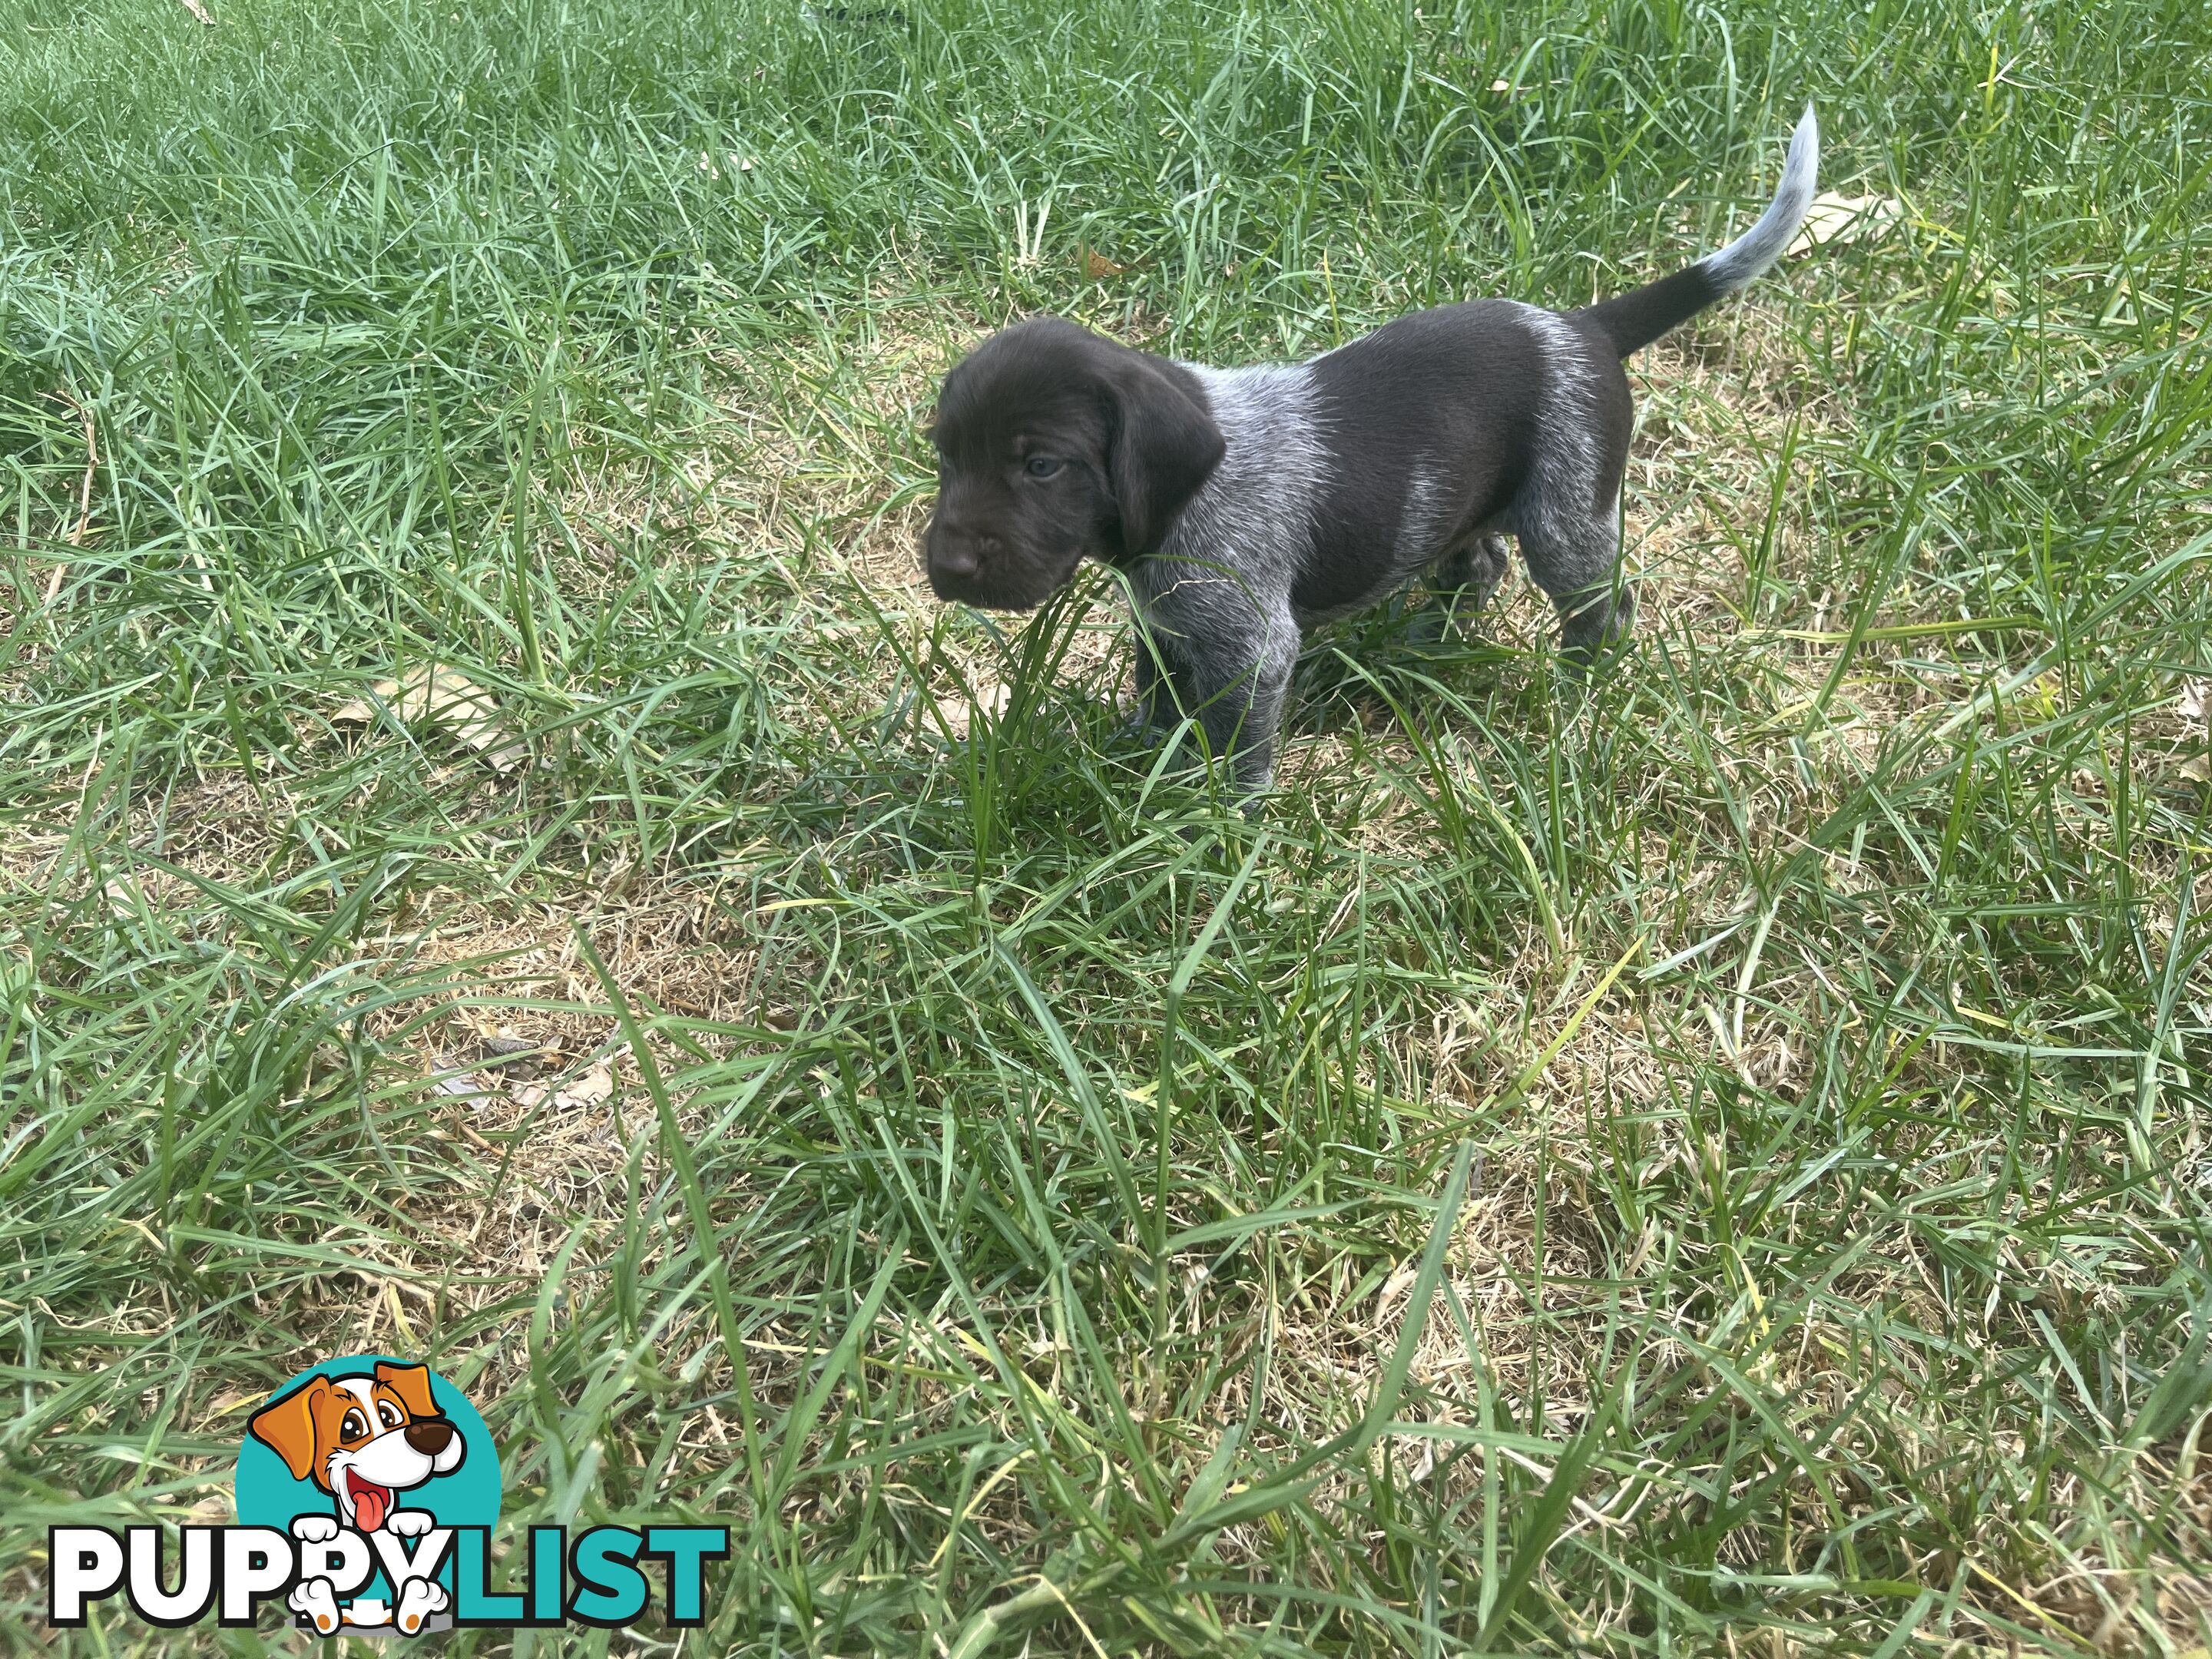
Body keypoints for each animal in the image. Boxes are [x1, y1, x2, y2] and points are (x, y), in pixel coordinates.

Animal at [924, 111, 1823, 800]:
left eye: (1042, 466)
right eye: (944, 457)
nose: (946, 569)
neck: (1179, 509)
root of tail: (1582, 326)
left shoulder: (1250, 647)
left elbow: (1234, 743)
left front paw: (1218, 819)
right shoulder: (1166, 623)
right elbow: (1158, 698)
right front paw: (1141, 755)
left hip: (1569, 520)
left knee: (1602, 604)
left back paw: (1578, 689)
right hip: (1470, 508)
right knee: (1478, 565)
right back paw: (1425, 644)